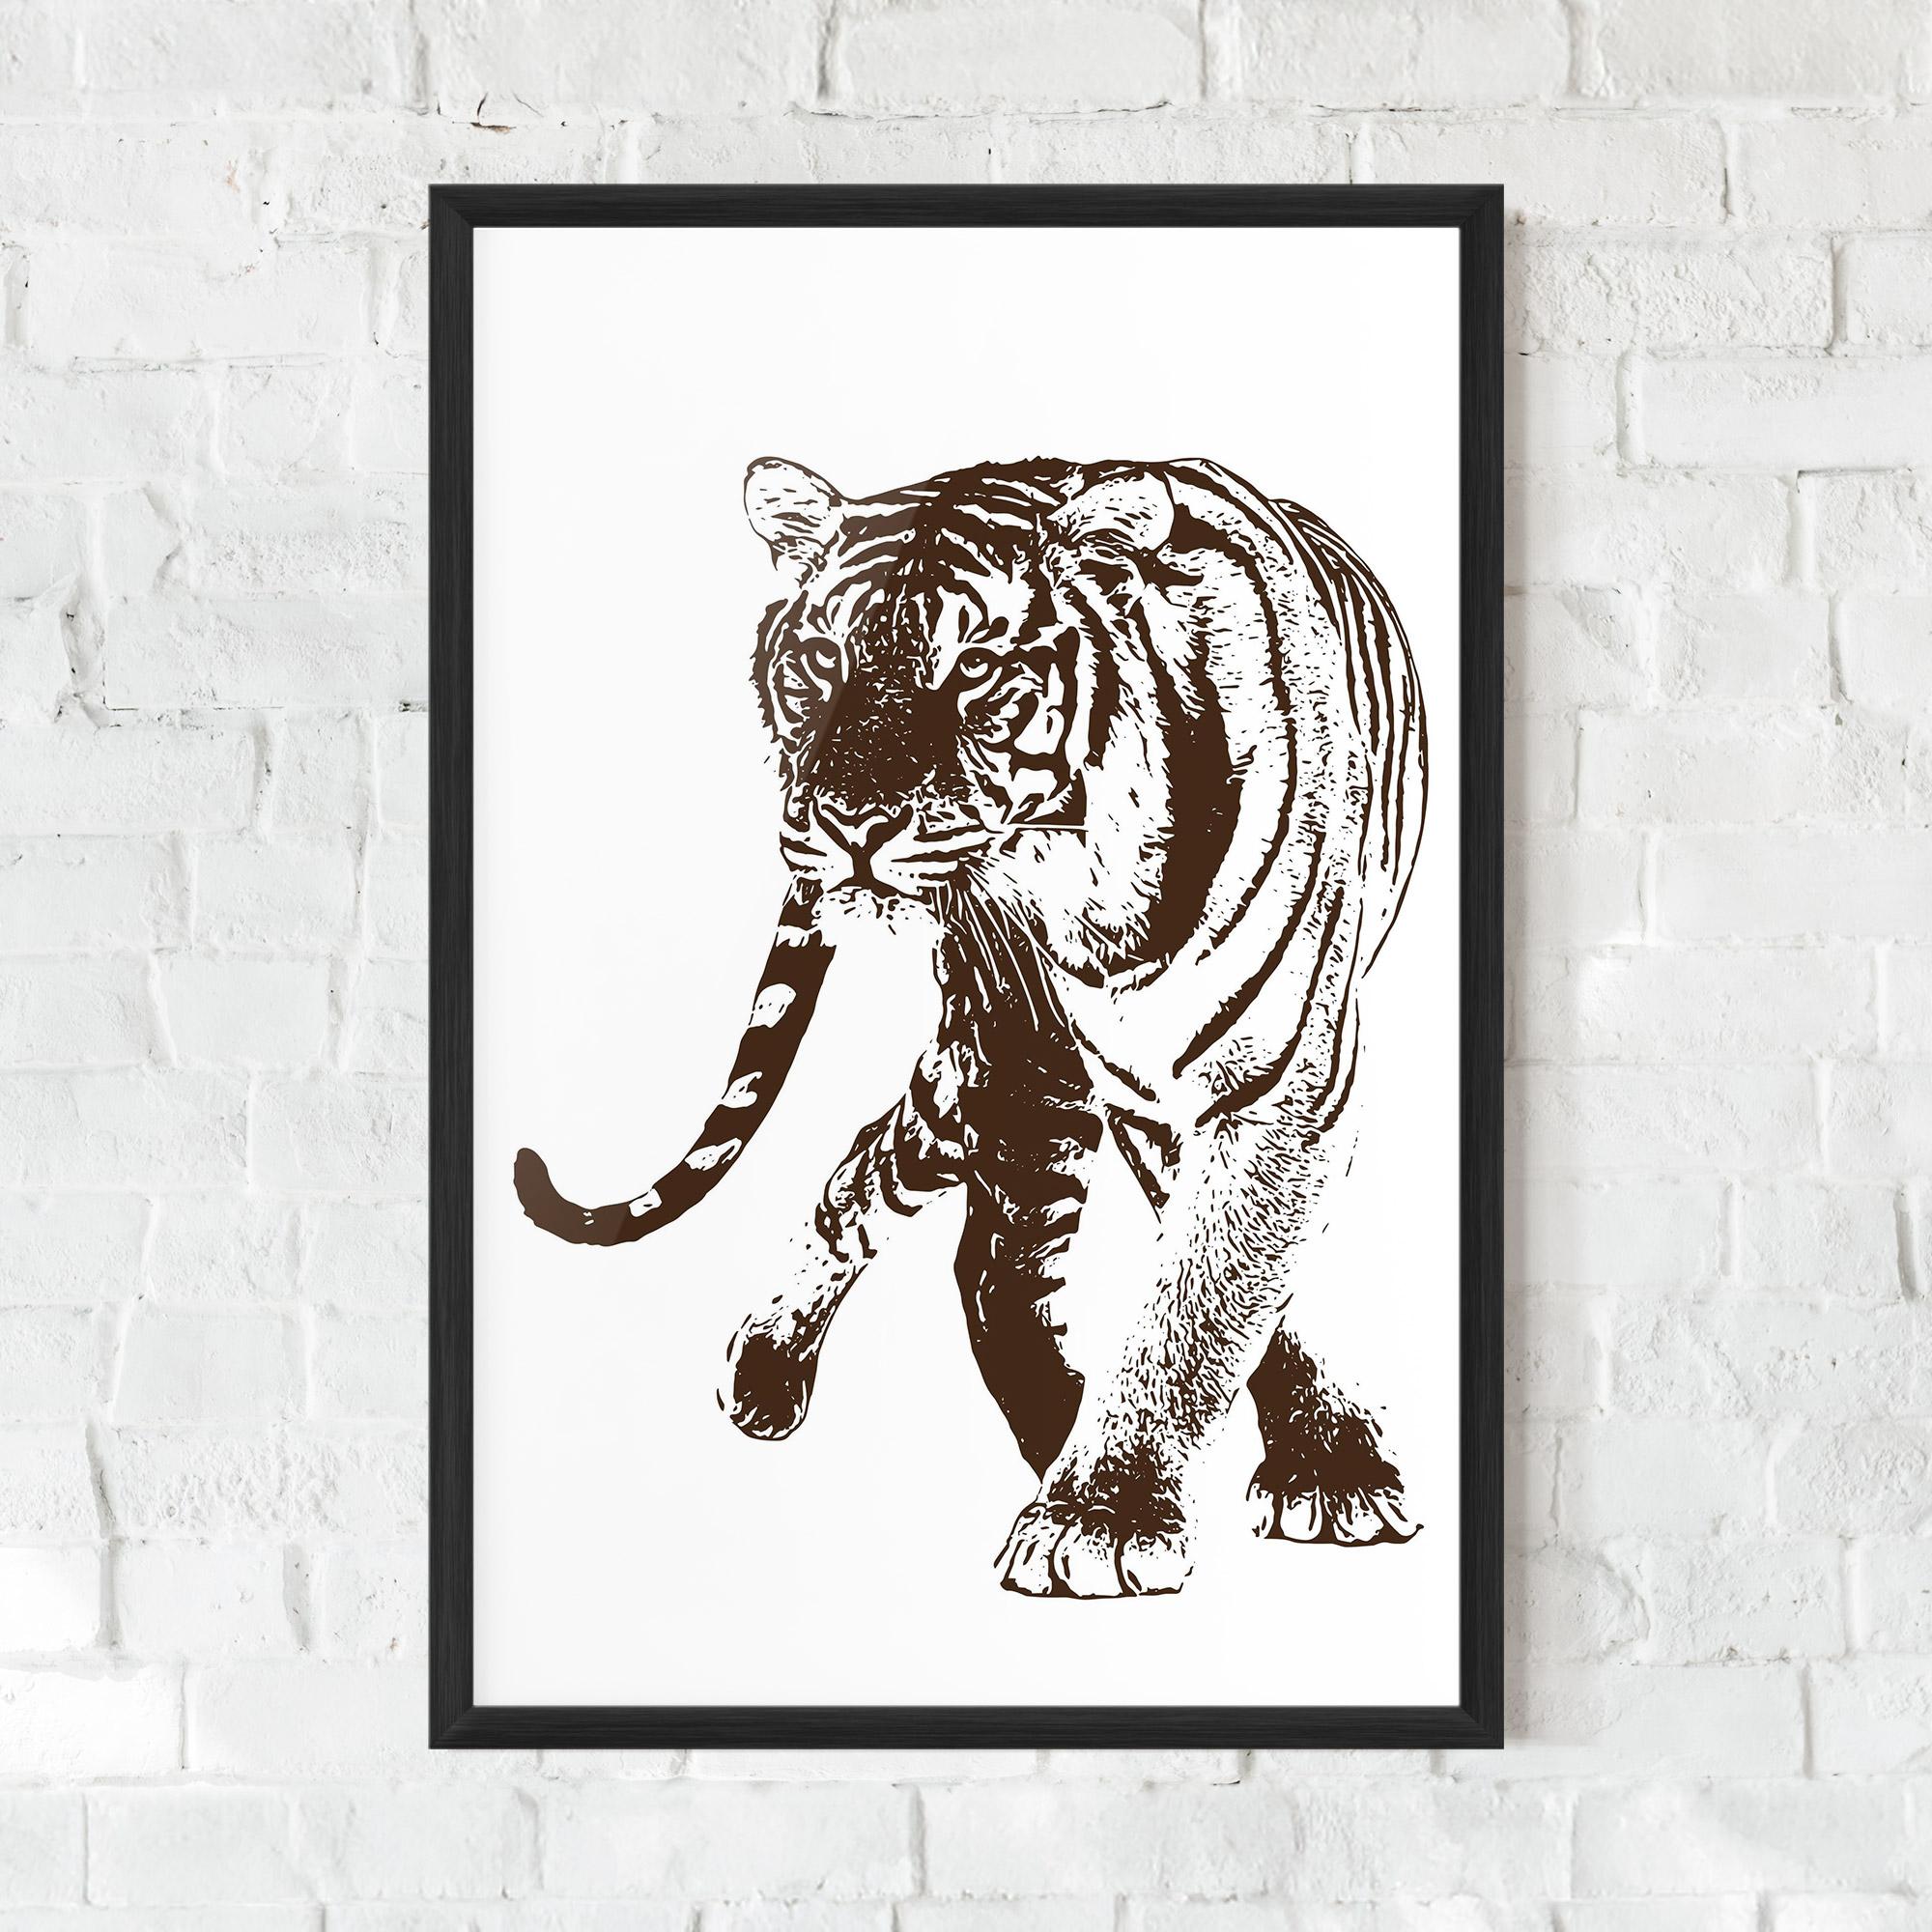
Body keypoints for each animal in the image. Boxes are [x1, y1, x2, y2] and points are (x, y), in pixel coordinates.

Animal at [514, 454, 1429, 1598]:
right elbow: (1205, 1292)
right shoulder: (1119, 1089)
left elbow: (1210, 1293)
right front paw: (1107, 1510)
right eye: (823, 658)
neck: (1086, 882)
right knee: (965, 1243)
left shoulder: (1274, 1090)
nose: (850, 821)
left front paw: (1224, 1482)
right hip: (1013, 1065)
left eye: (977, 670)